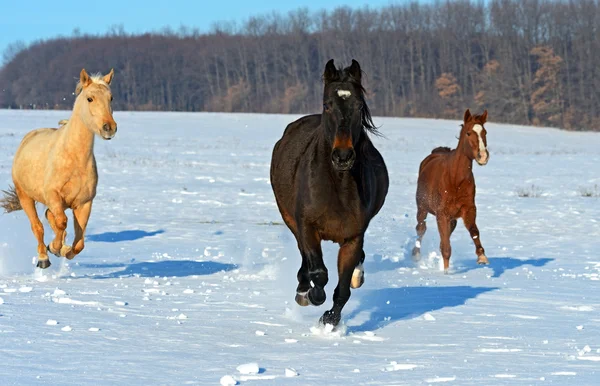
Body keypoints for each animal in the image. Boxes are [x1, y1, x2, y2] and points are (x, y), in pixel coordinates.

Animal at [0, 68, 117, 268]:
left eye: (111, 98)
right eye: (90, 98)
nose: (109, 127)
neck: (74, 160)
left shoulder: (84, 203)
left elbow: (79, 243)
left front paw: (62, 249)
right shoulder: (54, 196)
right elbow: (62, 222)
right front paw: (54, 247)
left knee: (49, 216)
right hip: (25, 197)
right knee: (37, 226)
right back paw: (43, 257)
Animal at [270, 58, 390, 328]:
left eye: (359, 105)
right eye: (327, 105)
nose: (343, 156)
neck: (338, 186)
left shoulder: (353, 237)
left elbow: (343, 288)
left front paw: (330, 321)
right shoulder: (307, 226)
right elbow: (319, 272)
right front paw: (312, 295)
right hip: (291, 220)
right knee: (305, 259)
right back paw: (303, 289)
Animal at [412, 107, 492, 272]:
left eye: (485, 132)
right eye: (468, 133)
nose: (483, 156)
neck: (455, 180)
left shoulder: (468, 209)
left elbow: (474, 231)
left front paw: (482, 257)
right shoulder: (442, 214)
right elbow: (446, 247)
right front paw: (446, 272)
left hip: (452, 218)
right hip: (422, 208)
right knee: (421, 228)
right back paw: (415, 254)